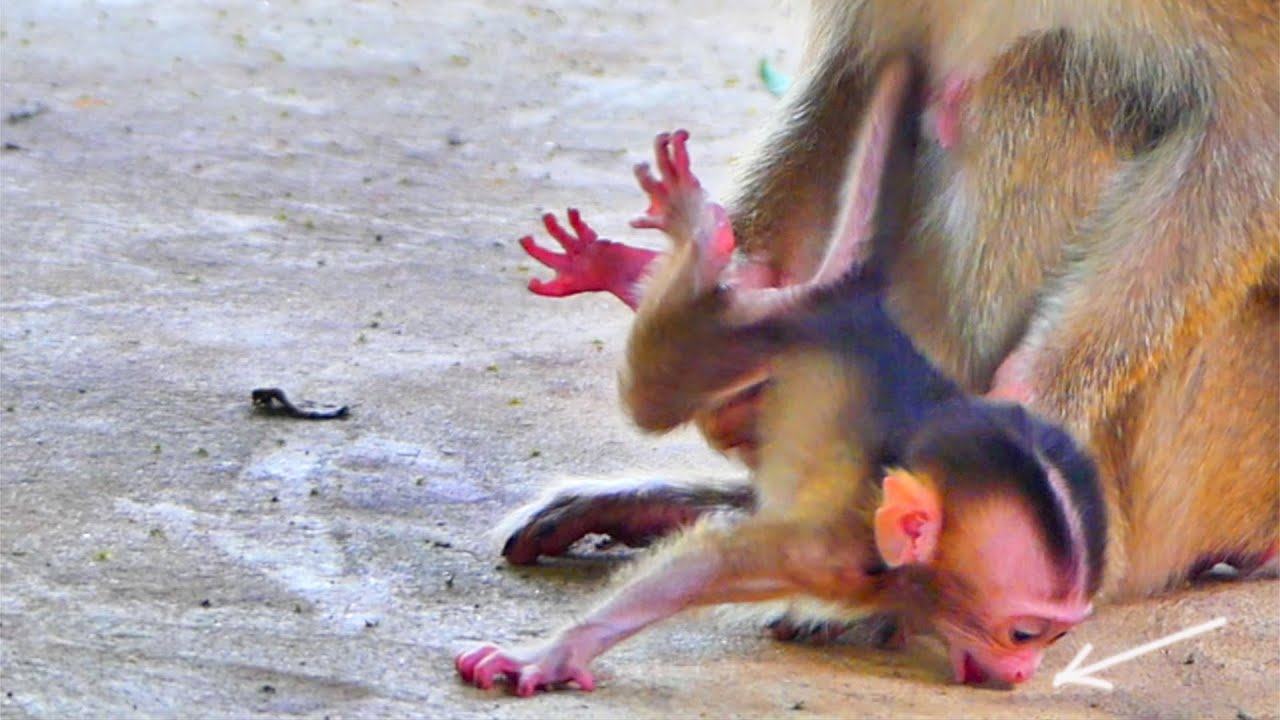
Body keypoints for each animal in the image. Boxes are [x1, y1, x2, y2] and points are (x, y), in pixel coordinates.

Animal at [459, 59, 1112, 695]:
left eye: (1054, 637)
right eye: (1023, 633)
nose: (1024, 672)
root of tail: (851, 300)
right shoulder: (833, 552)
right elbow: (711, 561)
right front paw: (550, 654)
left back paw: (628, 269)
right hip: (748, 340)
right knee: (653, 397)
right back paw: (695, 239)